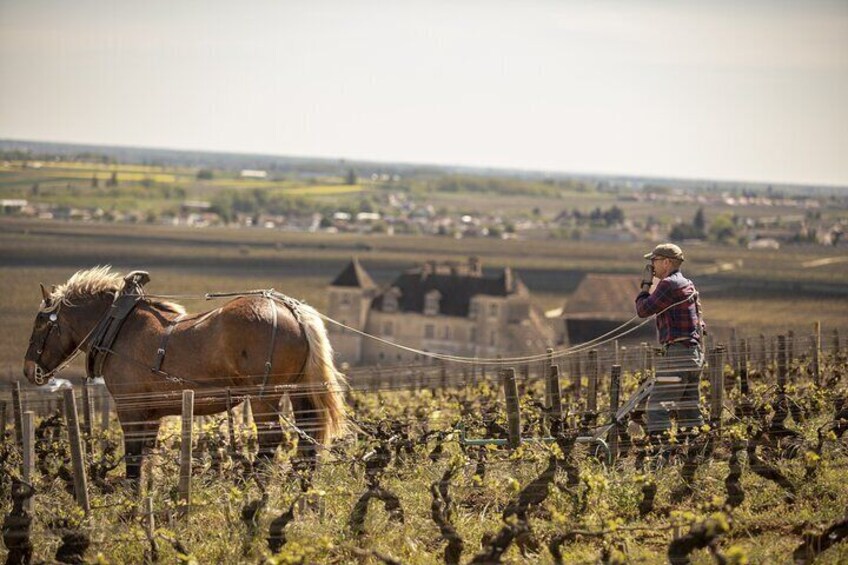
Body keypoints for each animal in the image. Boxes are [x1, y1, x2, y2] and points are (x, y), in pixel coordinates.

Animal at [22, 266, 348, 486]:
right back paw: (300, 487)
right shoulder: (151, 413)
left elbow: (133, 457)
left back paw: (252, 485)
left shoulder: (130, 408)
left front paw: (131, 499)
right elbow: (146, 456)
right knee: (308, 436)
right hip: (299, 389)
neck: (118, 325)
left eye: (41, 322)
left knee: (271, 439)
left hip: (263, 395)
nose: (28, 370)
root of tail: (290, 309)